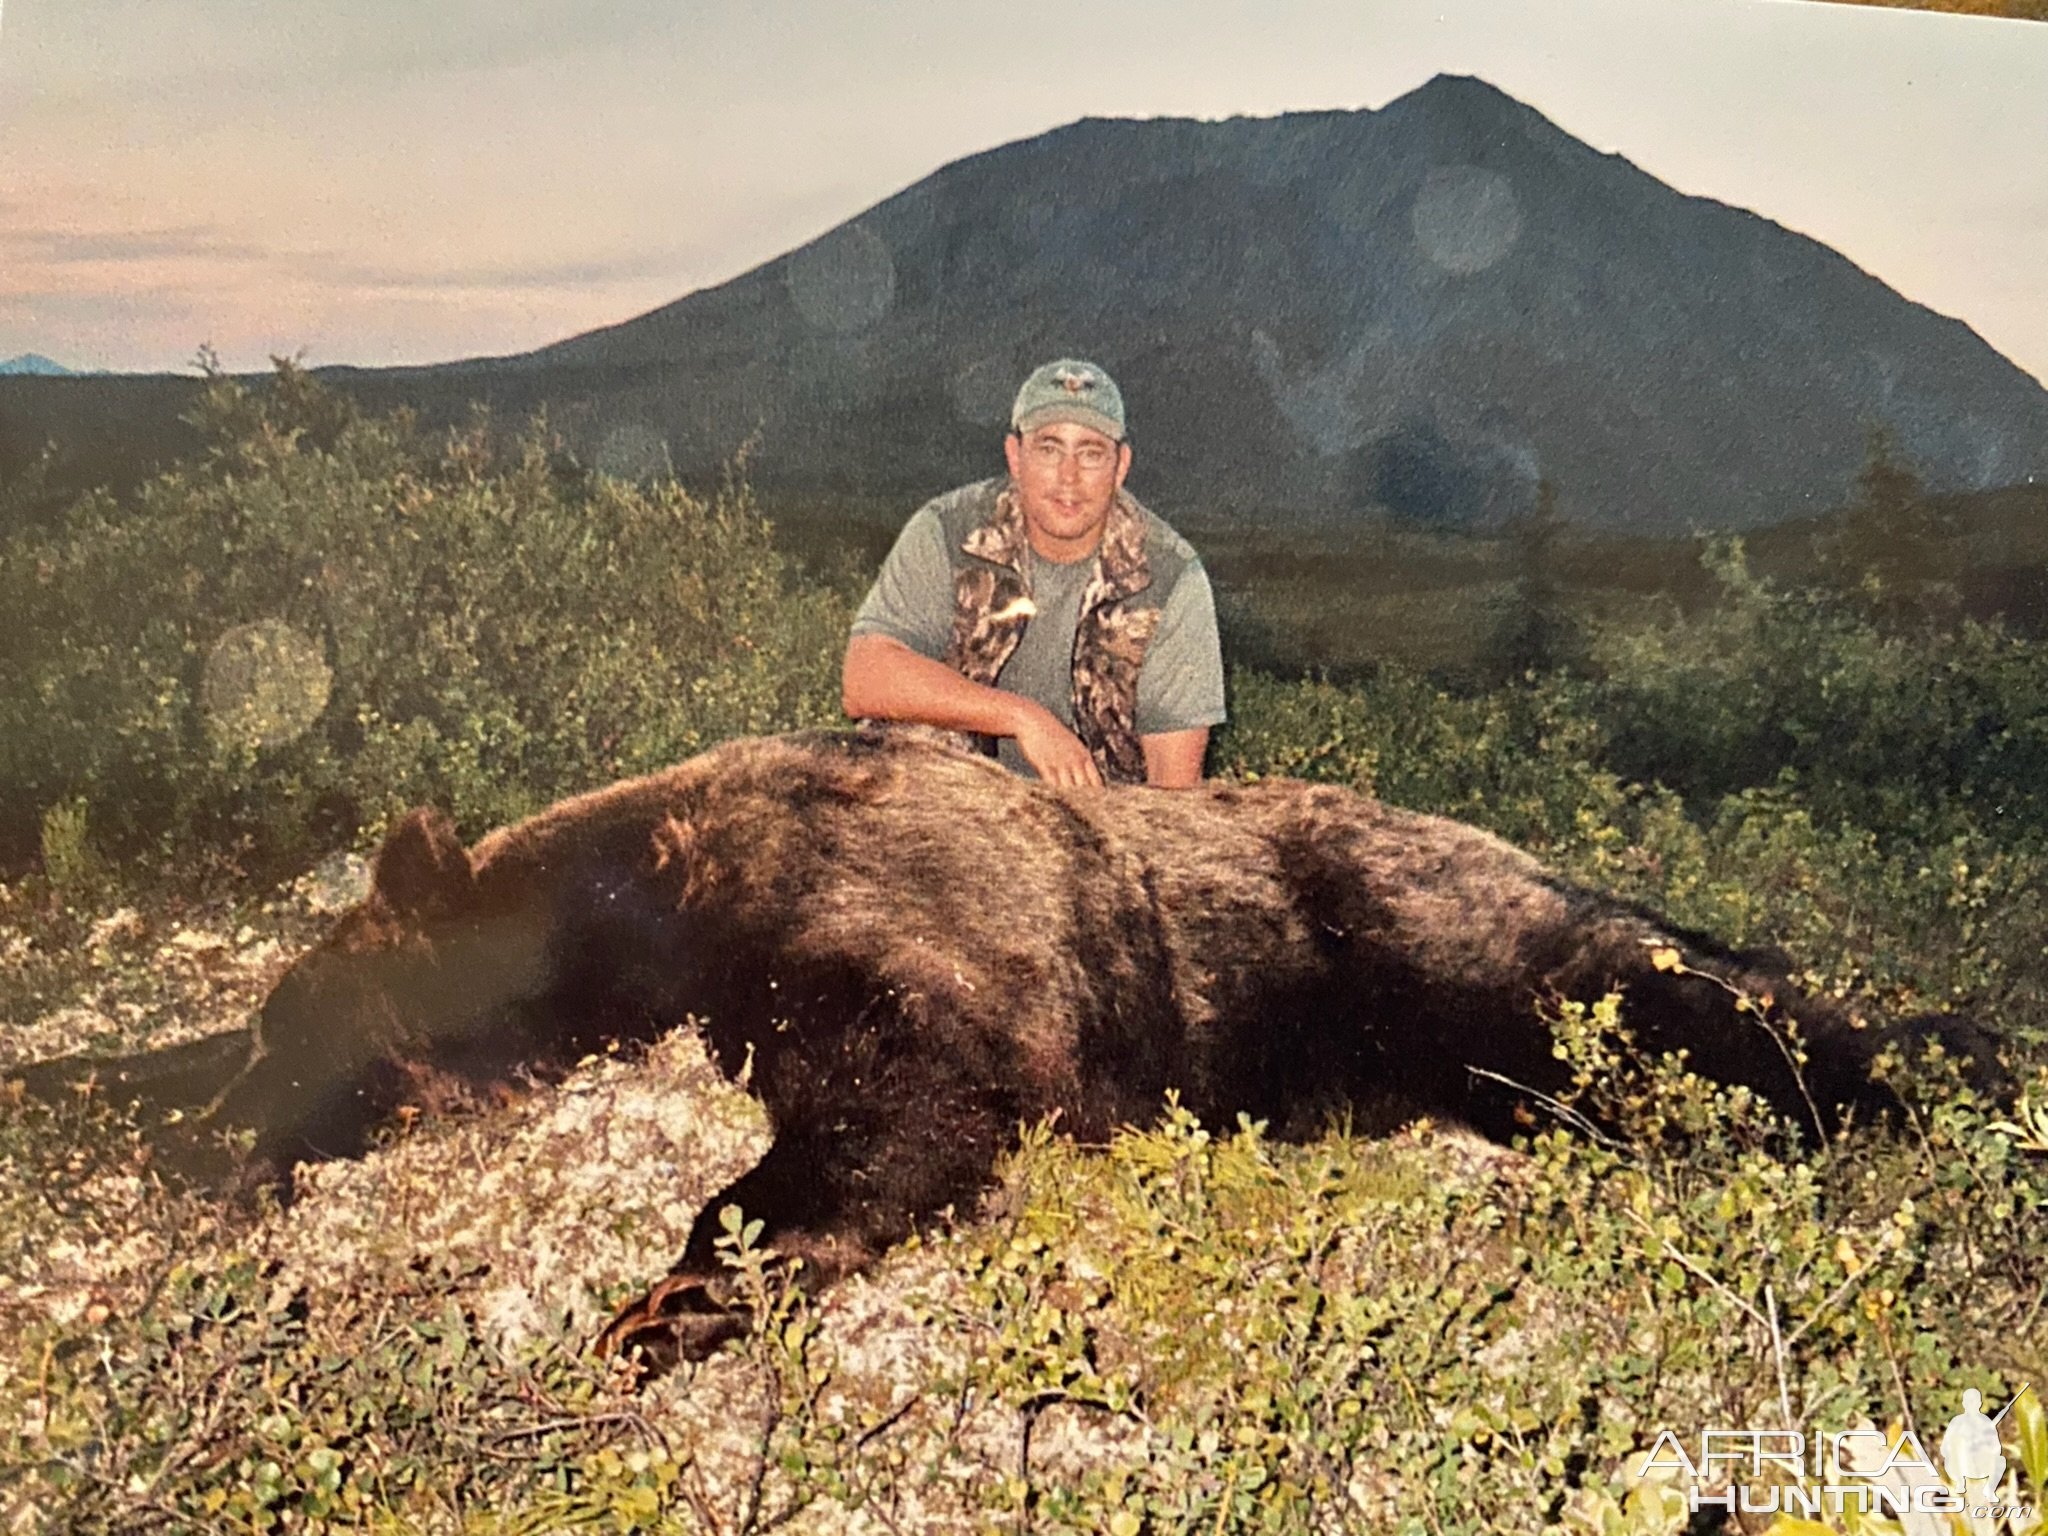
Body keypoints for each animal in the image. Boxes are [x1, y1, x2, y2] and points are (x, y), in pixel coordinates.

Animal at [8, 733, 2007, 1368]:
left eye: (308, 1035)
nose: (221, 1147)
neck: (631, 903)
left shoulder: (894, 913)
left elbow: (915, 1080)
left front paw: (671, 1297)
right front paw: (91, 1076)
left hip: (1455, 956)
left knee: (1685, 1015)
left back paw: (1940, 1067)